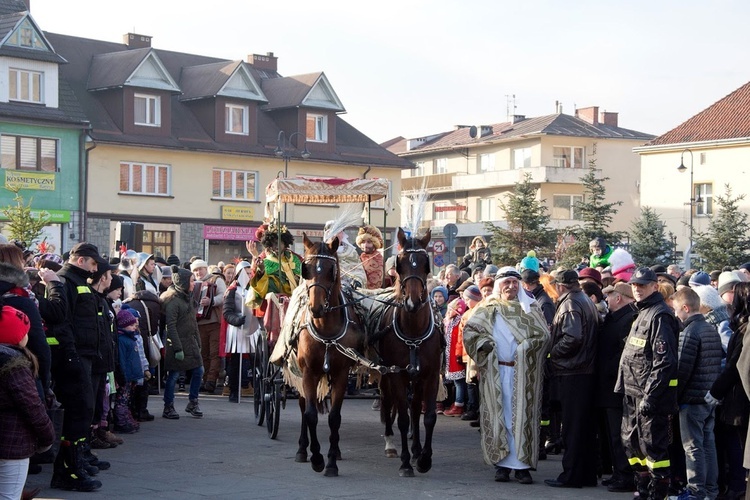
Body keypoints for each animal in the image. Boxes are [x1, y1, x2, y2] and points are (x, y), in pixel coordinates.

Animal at [294, 234, 364, 476]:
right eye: (306, 268)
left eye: (330, 270)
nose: (315, 307)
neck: (325, 329)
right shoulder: (308, 372)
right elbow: (310, 414)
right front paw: (316, 458)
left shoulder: (341, 373)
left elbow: (335, 417)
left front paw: (331, 461)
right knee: (303, 406)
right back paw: (302, 450)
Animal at [374, 228, 440, 476]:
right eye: (400, 264)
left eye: (425, 264)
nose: (412, 302)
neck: (414, 332)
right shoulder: (397, 375)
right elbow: (402, 417)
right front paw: (405, 462)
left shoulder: (431, 375)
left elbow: (428, 417)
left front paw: (424, 459)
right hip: (385, 375)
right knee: (388, 403)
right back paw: (391, 444)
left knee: (414, 407)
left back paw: (416, 449)